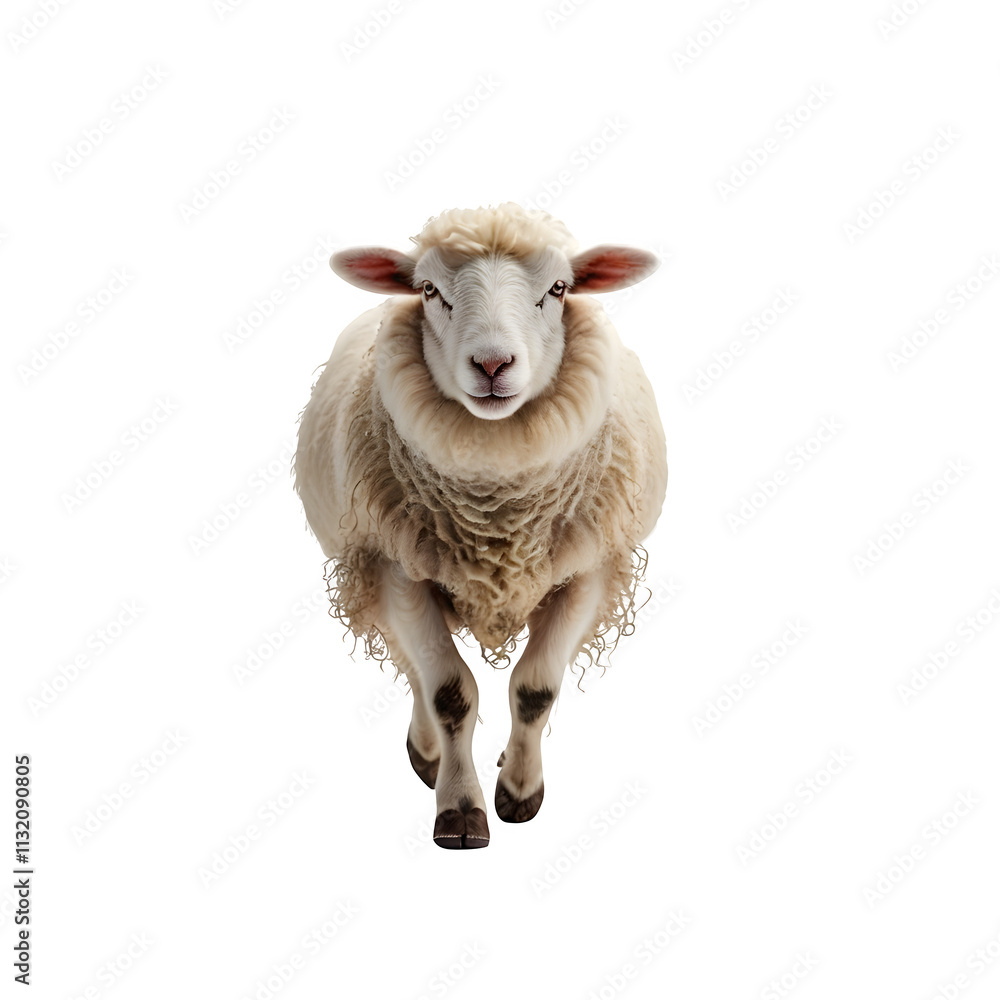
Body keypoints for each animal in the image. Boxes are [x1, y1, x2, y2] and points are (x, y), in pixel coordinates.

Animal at [294, 203, 666, 849]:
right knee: (414, 668)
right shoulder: (396, 567)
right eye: (428, 290)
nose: (493, 365)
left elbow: (536, 690)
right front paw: (460, 809)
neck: (498, 509)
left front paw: (519, 791)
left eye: (559, 288)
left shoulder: (587, 570)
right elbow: (448, 692)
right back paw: (427, 755)